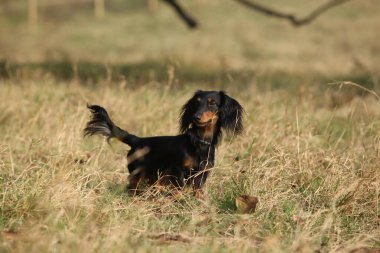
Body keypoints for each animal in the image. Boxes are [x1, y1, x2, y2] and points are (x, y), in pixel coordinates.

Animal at [83, 90, 243, 194]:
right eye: (196, 104)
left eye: (212, 103)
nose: (196, 117)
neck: (199, 142)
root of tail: (137, 140)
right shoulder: (178, 171)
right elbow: (180, 191)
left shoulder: (201, 175)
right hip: (139, 174)